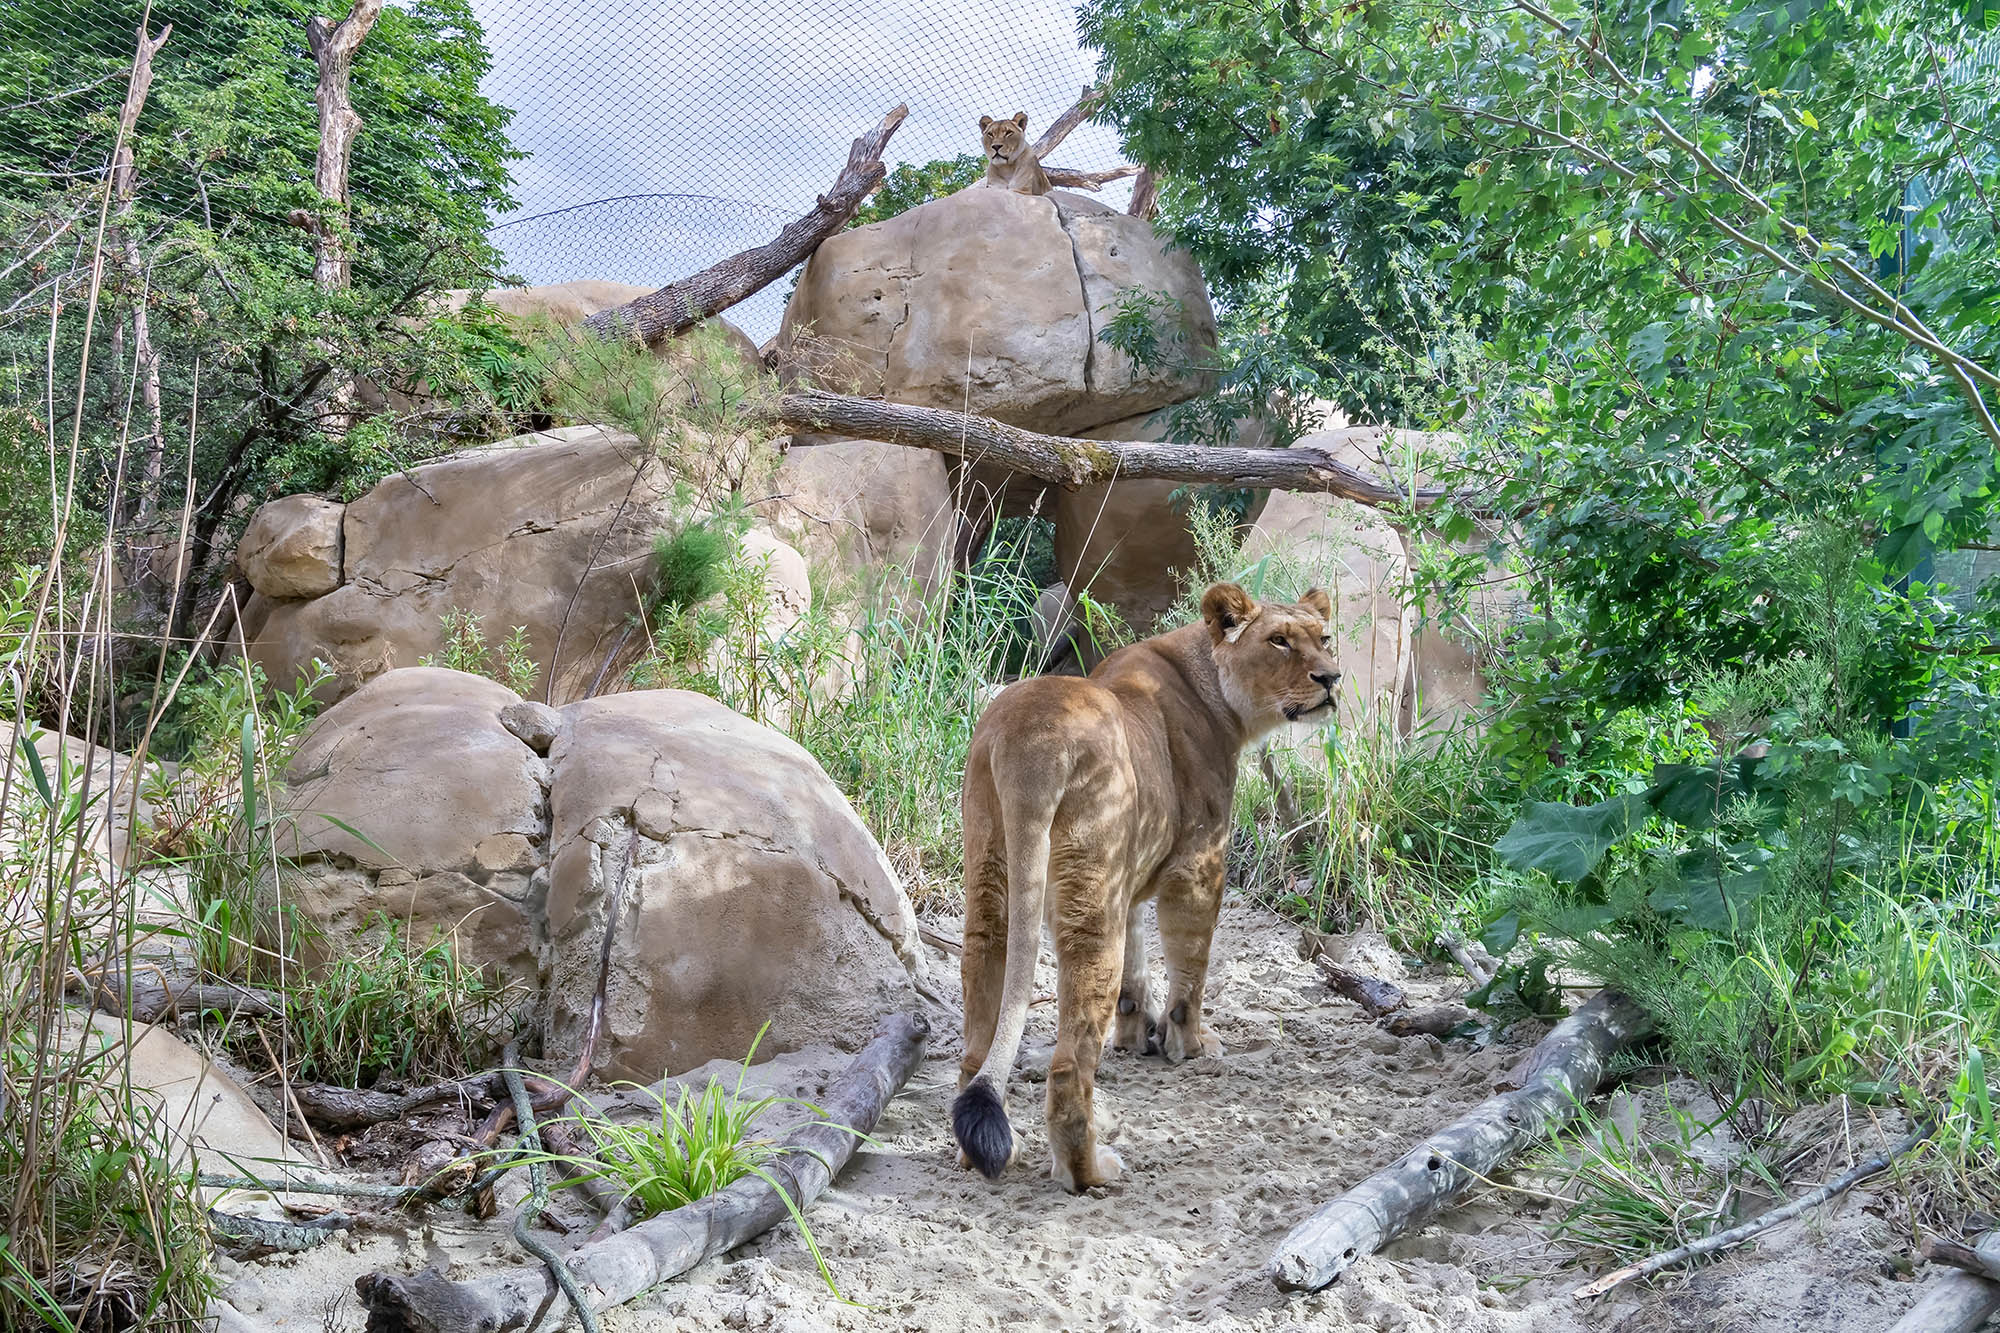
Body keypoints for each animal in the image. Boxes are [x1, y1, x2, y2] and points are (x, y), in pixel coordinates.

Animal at [951, 583, 1342, 1192]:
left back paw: (985, 1155)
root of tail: (1027, 738)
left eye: (1323, 637)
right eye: (1278, 641)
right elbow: (1190, 965)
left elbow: (1139, 960)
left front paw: (1137, 1033)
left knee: (978, 1029)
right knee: (1069, 1064)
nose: (1332, 678)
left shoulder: (1130, 874)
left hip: (995, 868)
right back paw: (1089, 1171)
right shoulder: (1200, 863)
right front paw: (1190, 1043)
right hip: (1091, 887)